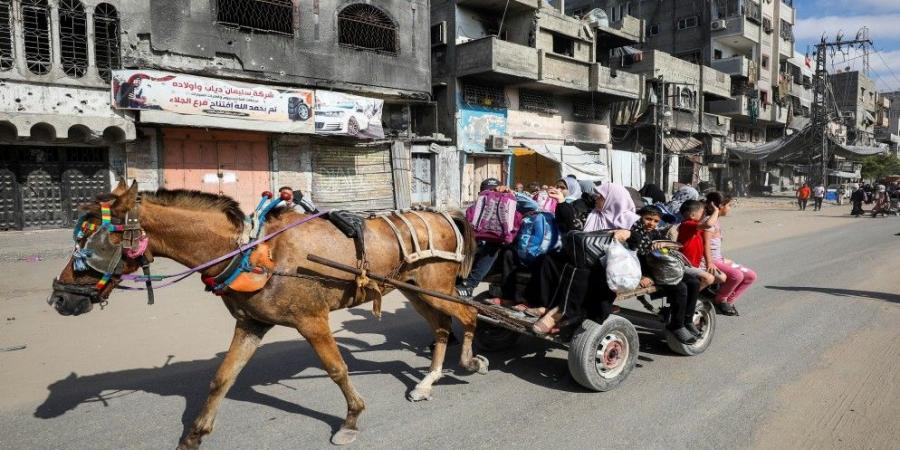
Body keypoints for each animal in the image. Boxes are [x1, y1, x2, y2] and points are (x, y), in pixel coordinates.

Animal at [47, 180, 486, 450]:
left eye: (93, 241)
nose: (60, 299)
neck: (251, 251)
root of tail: (444, 214)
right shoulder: (251, 323)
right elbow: (222, 378)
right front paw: (194, 435)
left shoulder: (312, 320)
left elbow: (337, 369)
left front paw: (350, 420)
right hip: (416, 290)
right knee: (442, 329)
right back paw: (428, 381)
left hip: (438, 286)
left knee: (468, 315)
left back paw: (469, 361)